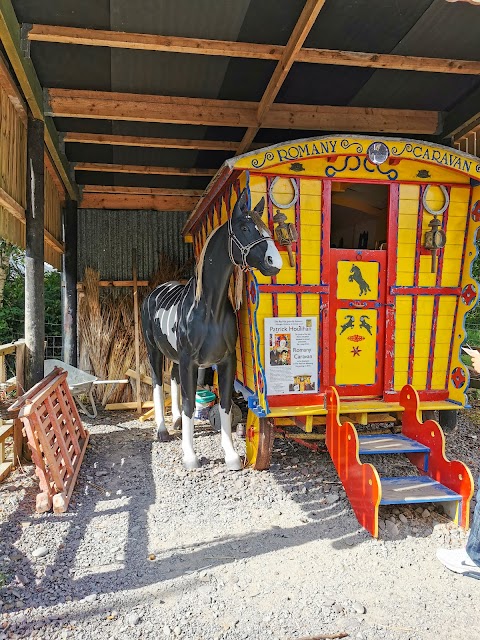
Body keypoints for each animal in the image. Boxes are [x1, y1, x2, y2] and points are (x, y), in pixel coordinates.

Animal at [141, 190, 284, 470]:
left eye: (265, 227)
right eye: (244, 228)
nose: (275, 262)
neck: (208, 309)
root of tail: (155, 292)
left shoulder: (226, 360)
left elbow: (226, 404)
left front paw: (231, 455)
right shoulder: (190, 362)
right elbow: (189, 404)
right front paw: (190, 456)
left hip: (174, 356)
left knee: (172, 379)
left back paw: (175, 422)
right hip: (154, 351)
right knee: (156, 382)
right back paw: (163, 430)